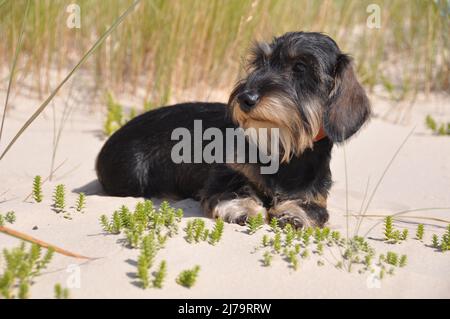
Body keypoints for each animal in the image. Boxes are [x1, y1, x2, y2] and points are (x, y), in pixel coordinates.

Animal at [96, 31, 370, 230]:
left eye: (300, 67)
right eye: (260, 62)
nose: (245, 98)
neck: (283, 148)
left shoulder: (315, 197)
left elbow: (313, 209)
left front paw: (294, 215)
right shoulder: (224, 175)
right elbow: (234, 189)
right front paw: (244, 208)